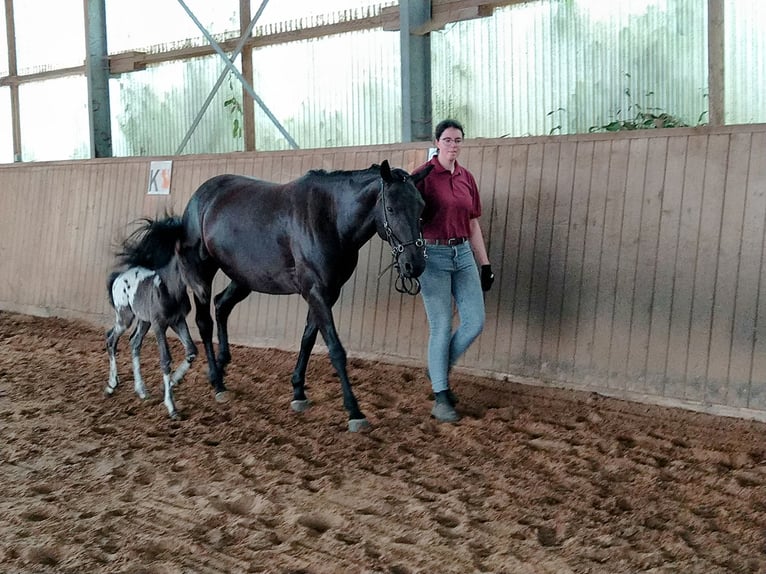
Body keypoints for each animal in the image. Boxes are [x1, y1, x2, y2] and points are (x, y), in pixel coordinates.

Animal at [177, 161, 436, 432]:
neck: (330, 218)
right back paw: (217, 382)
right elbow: (335, 349)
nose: (414, 265)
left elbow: (308, 340)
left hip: (243, 278)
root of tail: (201, 195)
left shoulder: (326, 293)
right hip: (202, 273)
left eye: (421, 207)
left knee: (221, 306)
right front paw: (354, 411)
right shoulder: (316, 292)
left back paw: (221, 367)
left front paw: (298, 392)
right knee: (204, 322)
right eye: (391, 208)